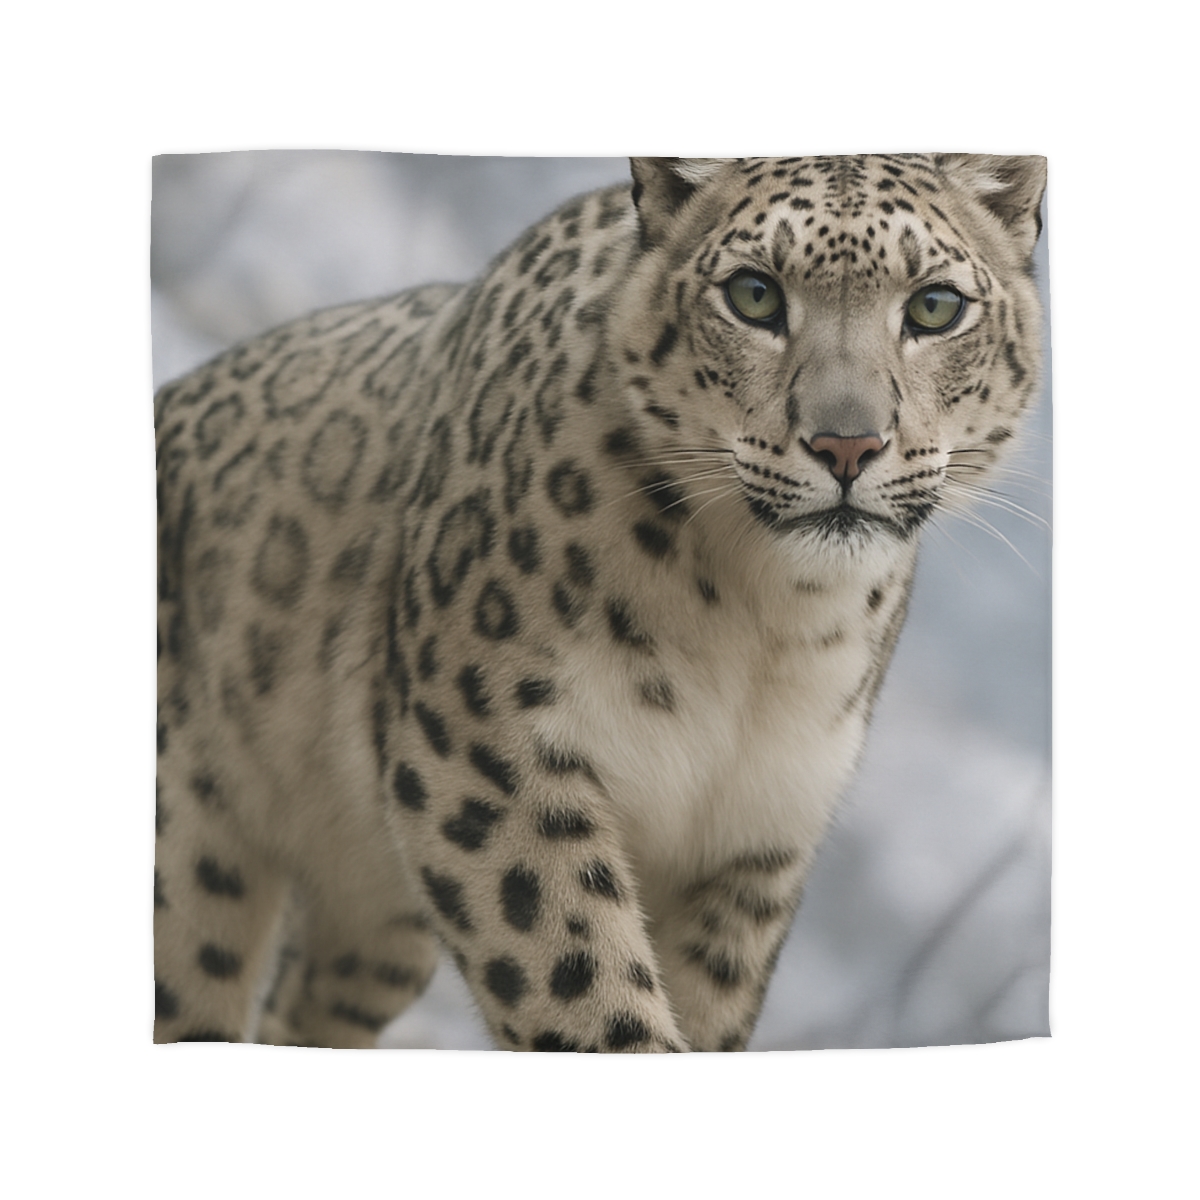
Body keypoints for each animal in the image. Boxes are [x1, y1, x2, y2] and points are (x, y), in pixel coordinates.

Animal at [153, 155, 1047, 1052]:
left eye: (935, 306)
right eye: (754, 294)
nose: (848, 444)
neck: (763, 622)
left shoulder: (756, 838)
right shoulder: (491, 755)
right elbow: (585, 984)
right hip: (188, 874)